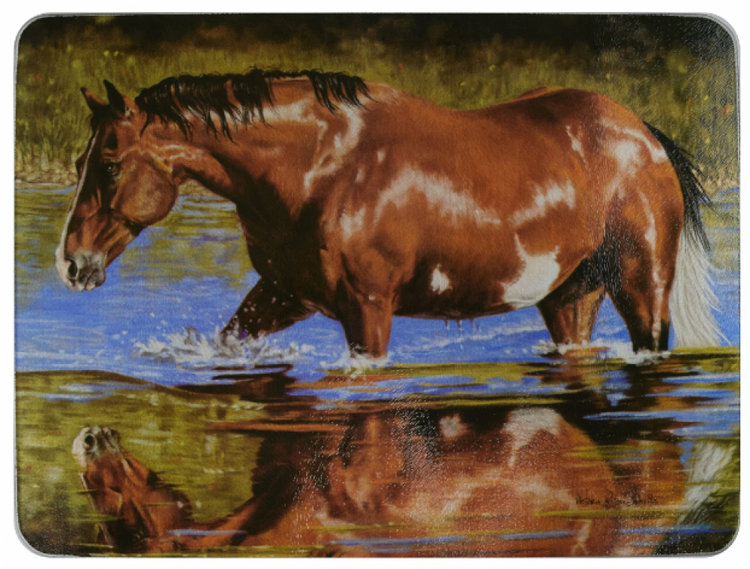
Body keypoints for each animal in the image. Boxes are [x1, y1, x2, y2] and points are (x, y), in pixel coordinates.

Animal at [55, 69, 721, 359]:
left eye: (109, 164)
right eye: (82, 160)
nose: (71, 264)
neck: (322, 164)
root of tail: (644, 136)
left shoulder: (368, 310)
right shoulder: (283, 294)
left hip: (641, 290)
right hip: (571, 299)